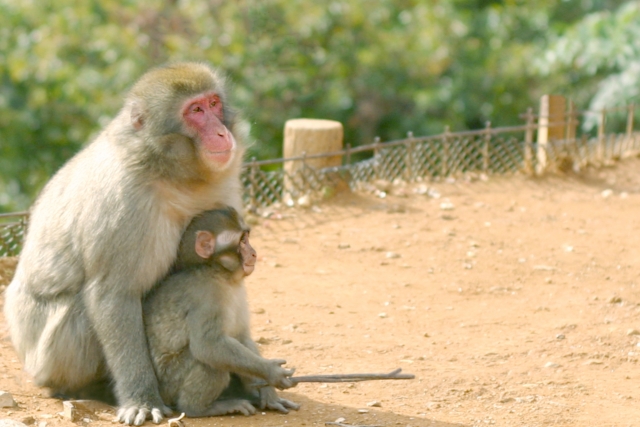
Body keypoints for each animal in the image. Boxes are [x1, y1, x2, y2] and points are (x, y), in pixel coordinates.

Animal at [3, 61, 246, 426]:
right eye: (195, 111)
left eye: (214, 103)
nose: (220, 133)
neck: (171, 172)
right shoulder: (123, 201)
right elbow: (113, 293)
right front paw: (141, 398)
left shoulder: (225, 185)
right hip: (47, 357)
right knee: (80, 310)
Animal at [144, 207, 298, 418]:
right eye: (242, 241)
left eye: (247, 237)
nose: (254, 253)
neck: (218, 272)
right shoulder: (206, 295)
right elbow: (208, 345)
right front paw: (271, 372)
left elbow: (241, 337)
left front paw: (269, 393)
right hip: (170, 382)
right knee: (208, 361)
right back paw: (199, 408)